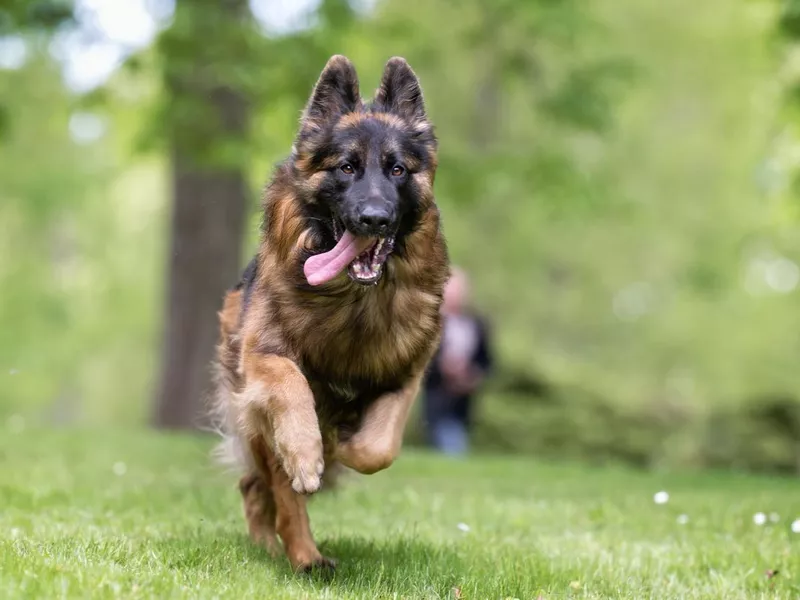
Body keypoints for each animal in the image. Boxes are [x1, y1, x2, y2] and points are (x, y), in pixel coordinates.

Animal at [211, 55, 450, 572]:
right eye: (347, 167)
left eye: (397, 169)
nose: (374, 219)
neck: (351, 302)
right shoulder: (263, 357)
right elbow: (292, 387)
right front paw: (308, 453)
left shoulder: (406, 374)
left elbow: (380, 447)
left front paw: (345, 444)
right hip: (256, 418)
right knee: (272, 490)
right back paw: (301, 555)